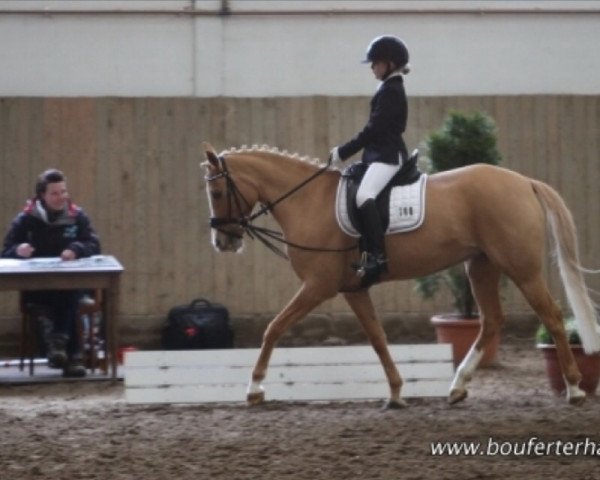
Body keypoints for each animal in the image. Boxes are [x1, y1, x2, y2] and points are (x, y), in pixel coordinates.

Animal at [203, 142, 600, 408]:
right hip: (481, 265)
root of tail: (524, 181)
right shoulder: (353, 289)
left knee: (551, 316)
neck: (308, 201)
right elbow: (378, 338)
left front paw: (254, 389)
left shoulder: (318, 286)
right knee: (491, 321)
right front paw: (395, 392)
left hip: (521, 268)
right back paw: (457, 387)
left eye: (217, 191)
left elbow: (273, 329)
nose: (222, 241)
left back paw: (575, 389)